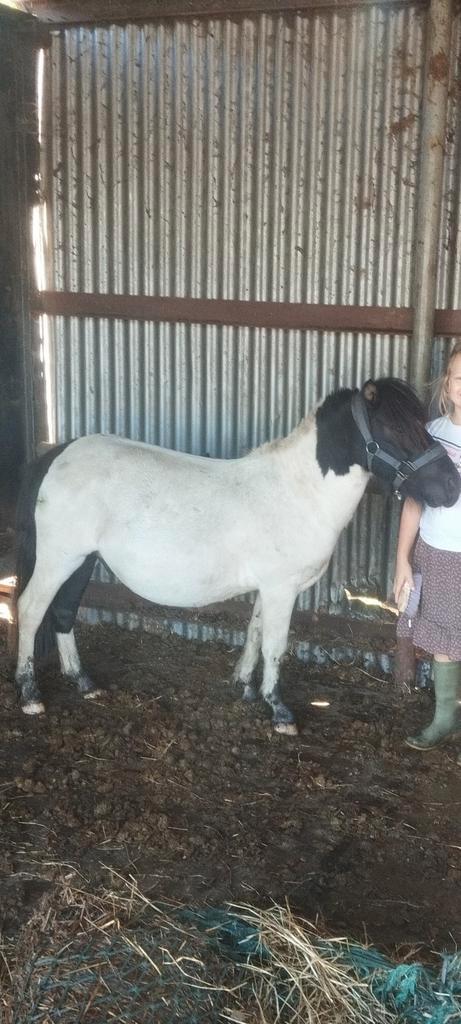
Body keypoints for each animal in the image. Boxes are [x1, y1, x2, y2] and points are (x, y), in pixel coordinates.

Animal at [13, 378, 460, 733]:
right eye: (395, 428)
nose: (451, 487)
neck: (299, 492)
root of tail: (57, 455)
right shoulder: (282, 589)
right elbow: (275, 644)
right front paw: (280, 712)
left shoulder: (270, 587)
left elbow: (255, 633)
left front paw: (245, 686)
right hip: (59, 558)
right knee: (31, 608)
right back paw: (30, 694)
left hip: (82, 560)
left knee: (64, 611)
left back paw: (83, 682)